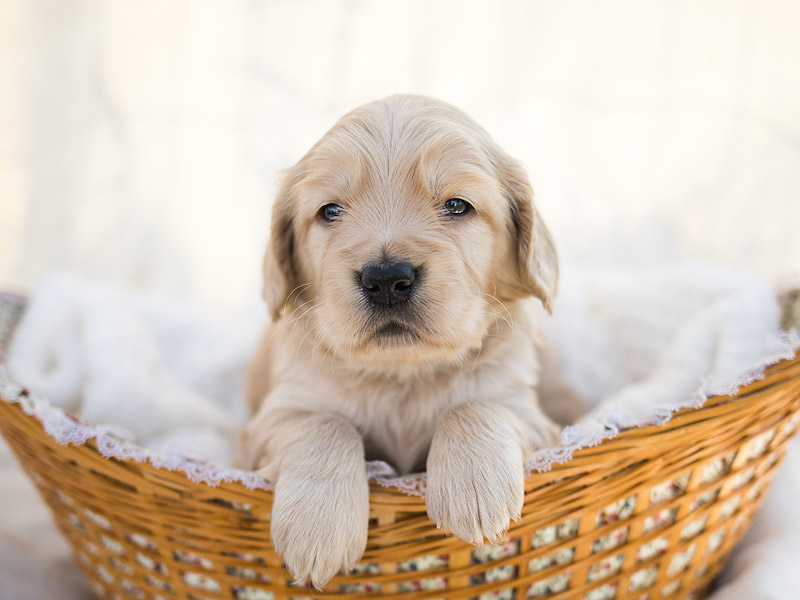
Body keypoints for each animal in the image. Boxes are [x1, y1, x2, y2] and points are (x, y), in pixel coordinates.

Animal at [244, 96, 556, 588]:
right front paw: (317, 527)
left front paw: (474, 489)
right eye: (330, 212)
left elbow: (472, 406)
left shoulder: (530, 413)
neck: (403, 373)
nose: (387, 279)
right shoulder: (272, 419)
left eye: (457, 205)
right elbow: (325, 423)